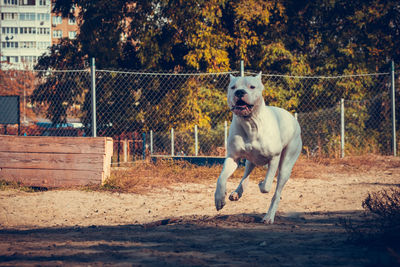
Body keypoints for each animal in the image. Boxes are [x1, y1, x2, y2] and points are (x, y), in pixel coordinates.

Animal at [214, 72, 302, 225]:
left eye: (252, 87)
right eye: (233, 87)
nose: (239, 92)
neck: (250, 123)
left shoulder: (274, 158)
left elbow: (266, 186)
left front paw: (261, 184)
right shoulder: (233, 157)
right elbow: (221, 178)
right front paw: (219, 198)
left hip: (286, 166)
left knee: (276, 192)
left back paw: (268, 217)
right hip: (250, 161)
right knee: (245, 176)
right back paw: (237, 193)